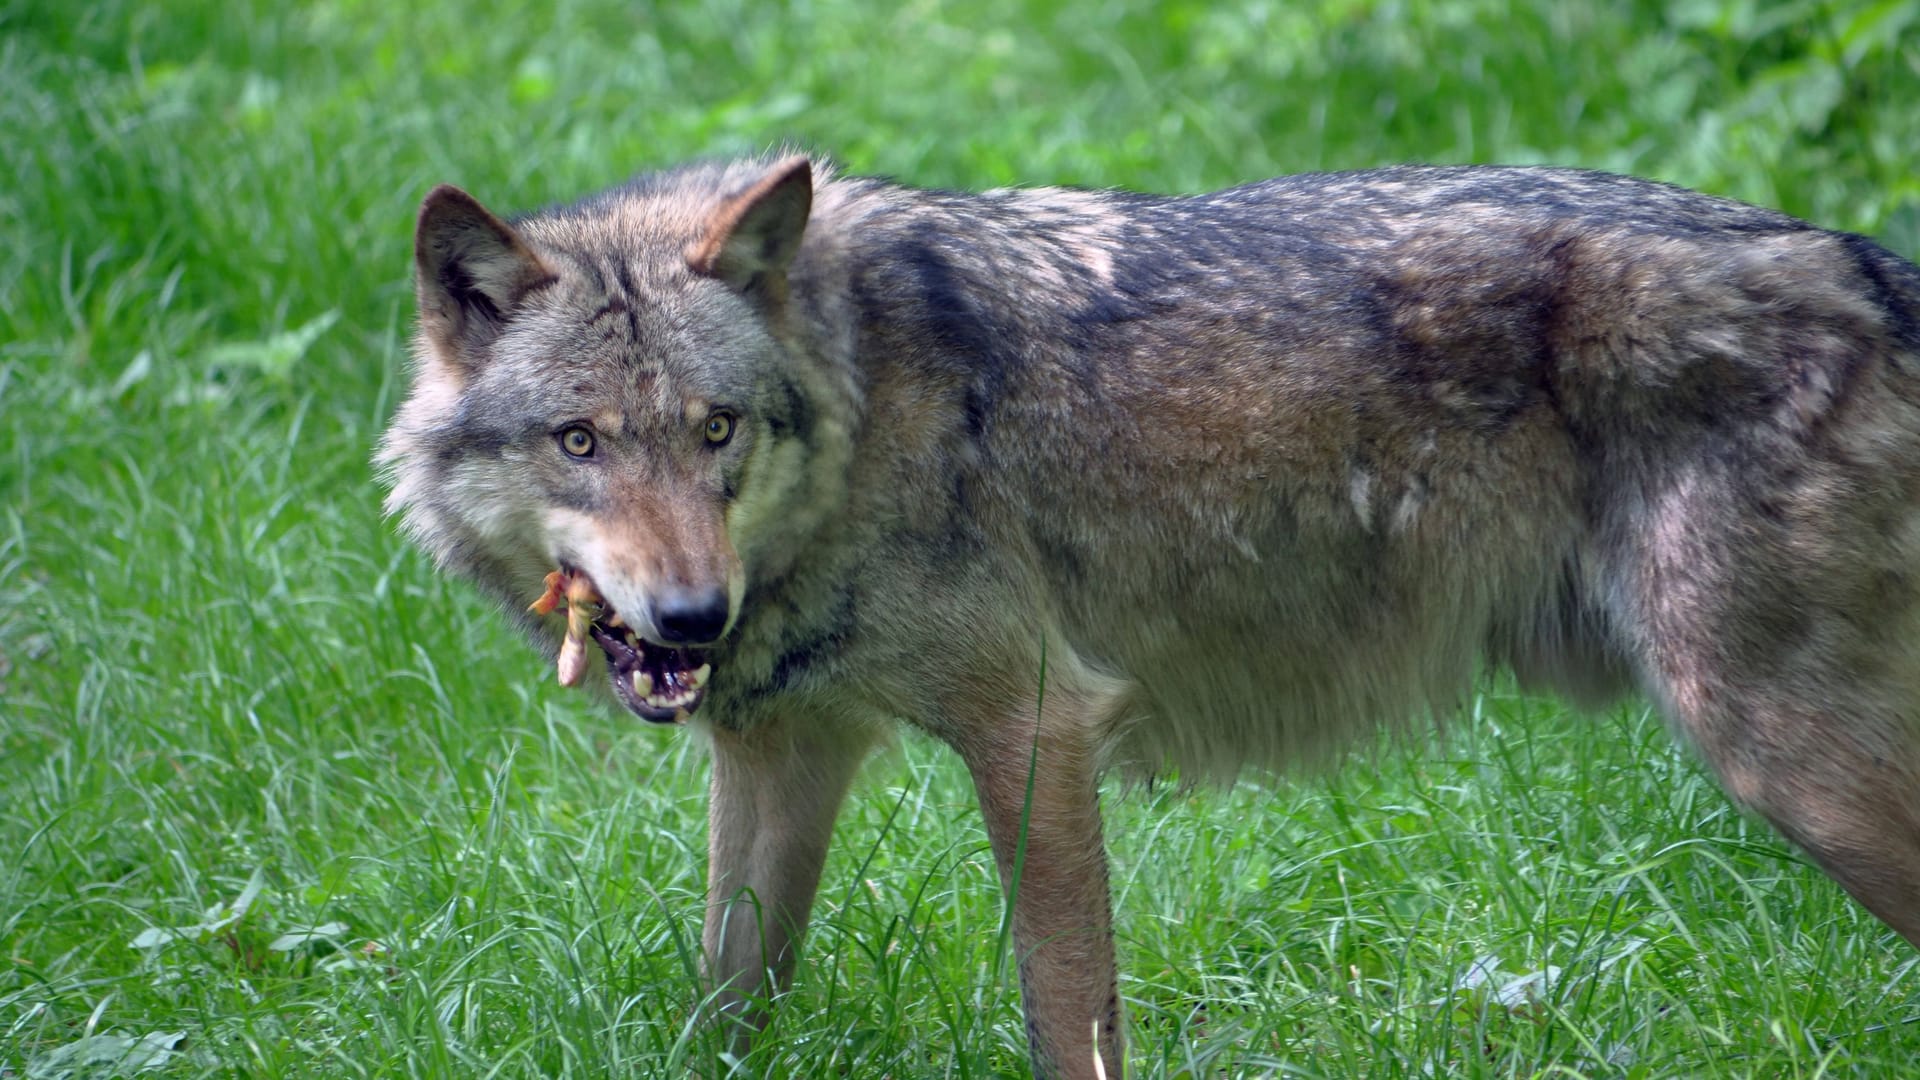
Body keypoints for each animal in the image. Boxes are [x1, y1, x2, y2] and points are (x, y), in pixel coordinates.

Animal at [374, 153, 1920, 1076]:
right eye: (580, 441)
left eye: (716, 431)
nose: (692, 617)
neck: (864, 410)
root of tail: (1872, 264)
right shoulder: (784, 754)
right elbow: (725, 1000)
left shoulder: (1037, 731)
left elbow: (1069, 1012)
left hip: (1781, 762)